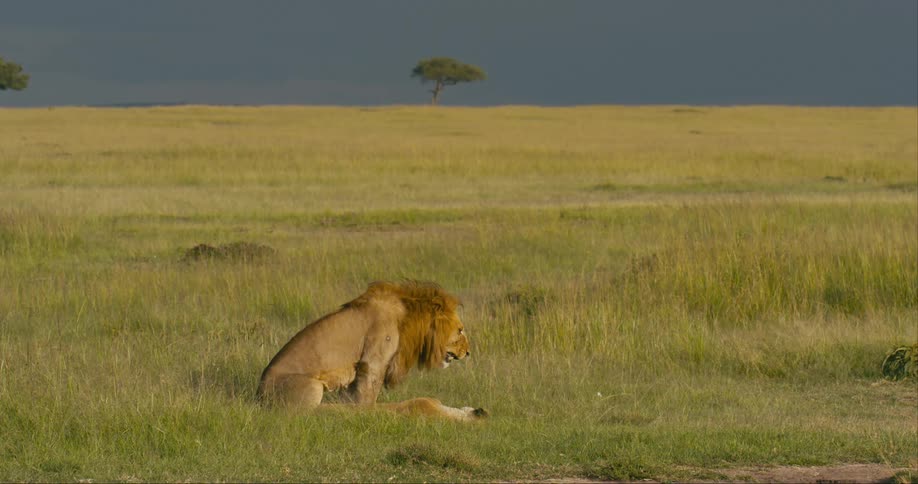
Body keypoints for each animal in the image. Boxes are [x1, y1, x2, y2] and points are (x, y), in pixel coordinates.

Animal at [257, 281, 487, 422]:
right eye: (460, 330)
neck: (408, 317)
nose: (468, 352)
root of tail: (259, 394)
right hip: (311, 387)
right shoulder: (373, 362)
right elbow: (366, 400)